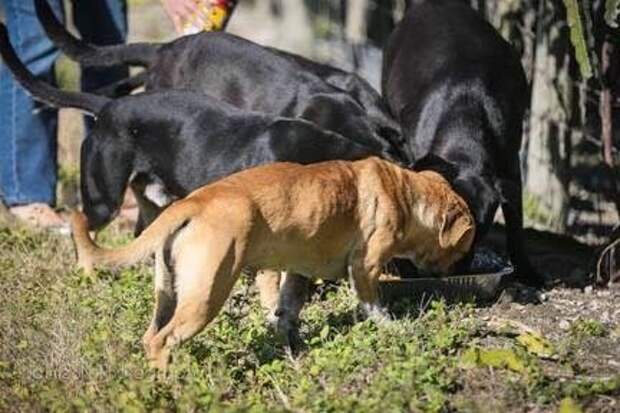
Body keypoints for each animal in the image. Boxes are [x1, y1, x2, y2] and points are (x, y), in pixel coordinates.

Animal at [71, 157, 474, 366]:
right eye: (461, 248)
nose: (457, 270)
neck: (406, 192)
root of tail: (192, 203)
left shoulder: (297, 273)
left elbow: (286, 311)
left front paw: (293, 346)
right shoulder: (365, 267)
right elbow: (373, 305)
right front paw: (394, 326)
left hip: (168, 294)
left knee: (150, 335)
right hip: (206, 294)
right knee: (163, 341)